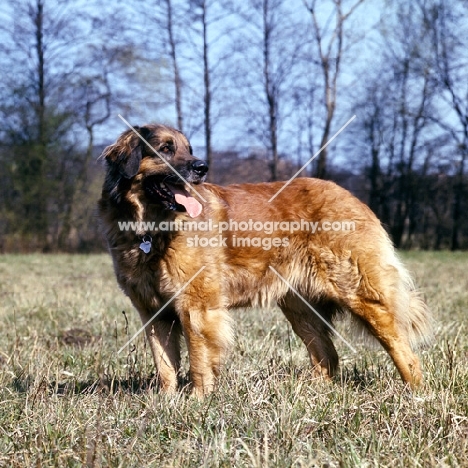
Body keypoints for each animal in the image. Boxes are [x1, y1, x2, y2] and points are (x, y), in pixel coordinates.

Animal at [98, 122, 432, 396]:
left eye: (187, 149)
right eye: (166, 149)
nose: (202, 167)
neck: (150, 228)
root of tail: (351, 197)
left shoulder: (197, 306)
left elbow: (198, 359)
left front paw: (197, 399)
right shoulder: (153, 312)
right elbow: (164, 363)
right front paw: (167, 401)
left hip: (360, 293)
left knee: (401, 348)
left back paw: (415, 392)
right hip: (300, 306)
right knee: (326, 354)